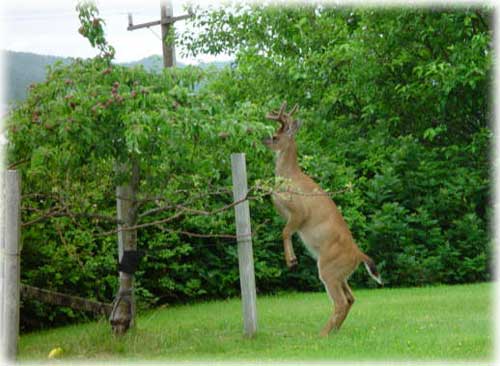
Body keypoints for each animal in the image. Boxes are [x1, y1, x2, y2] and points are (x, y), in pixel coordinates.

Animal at [262, 101, 382, 336]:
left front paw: (291, 260)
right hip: (341, 274)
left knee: (341, 301)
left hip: (328, 268)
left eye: (276, 136)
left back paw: (323, 334)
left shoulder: (299, 211)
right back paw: (333, 331)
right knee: (350, 298)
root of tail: (358, 254)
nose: (264, 139)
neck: (290, 177)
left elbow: (285, 231)